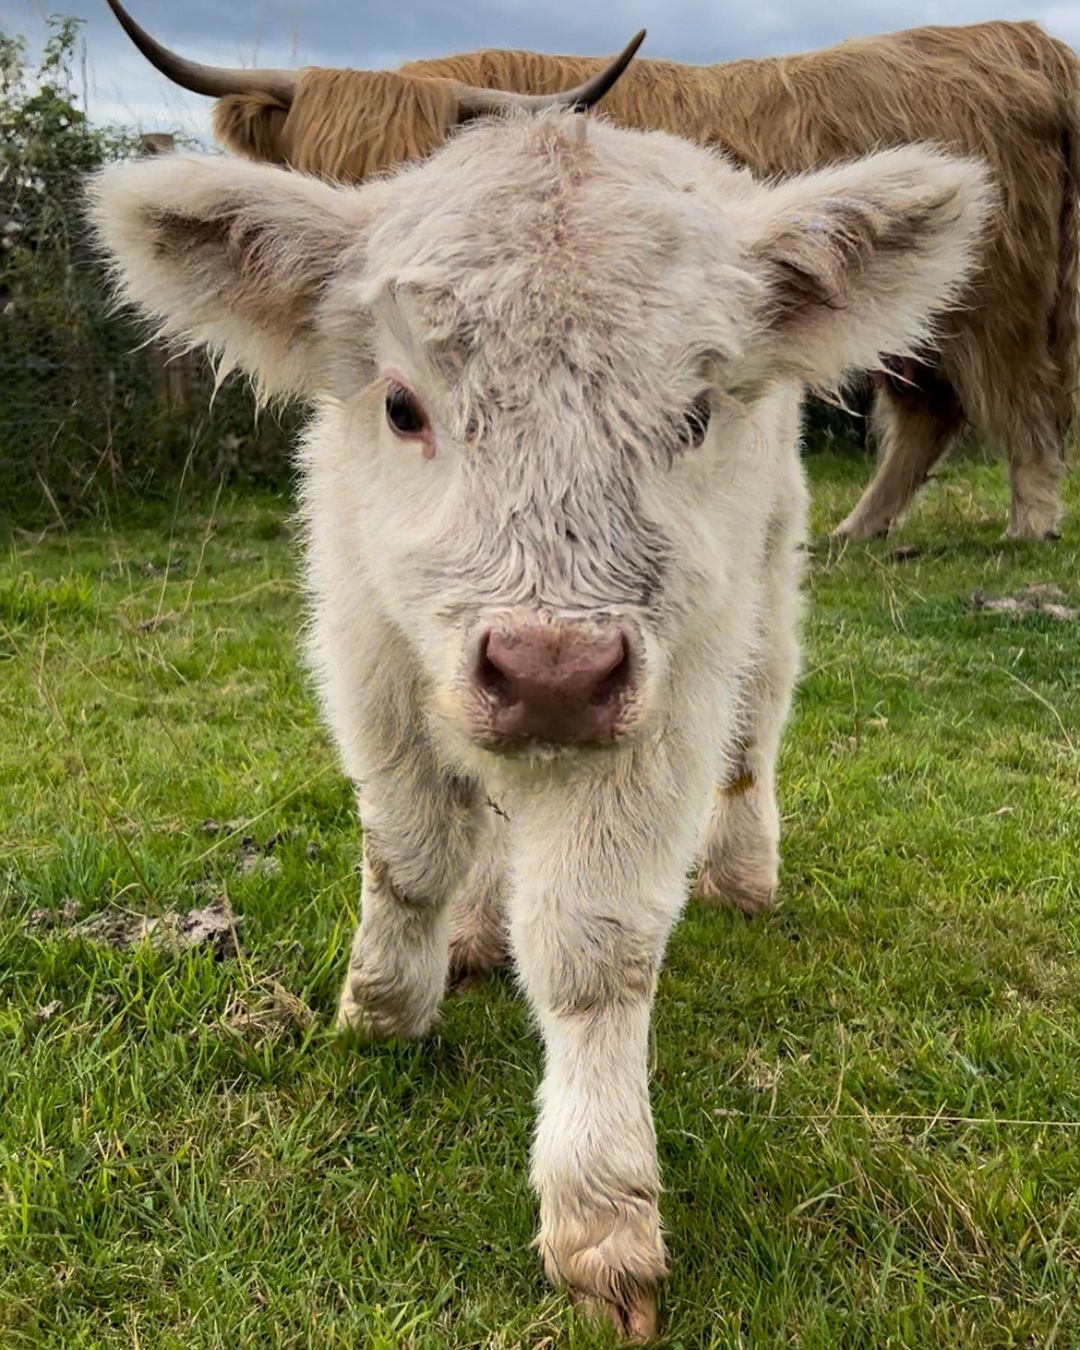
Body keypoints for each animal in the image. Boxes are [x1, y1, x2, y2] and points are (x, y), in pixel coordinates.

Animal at [90, 62, 988, 1336]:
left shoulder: (658, 696)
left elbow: (594, 947)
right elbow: (409, 848)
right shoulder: (364, 644)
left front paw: (600, 1214)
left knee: (758, 722)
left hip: (761, 575)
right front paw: (383, 1007)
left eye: (695, 412)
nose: (549, 672)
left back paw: (742, 870)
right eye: (402, 406)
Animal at [106, 1, 1078, 542]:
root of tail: (1026, 43)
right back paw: (858, 529)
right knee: (929, 413)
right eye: (313, 168)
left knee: (1022, 396)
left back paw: (1028, 525)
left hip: (1001, 292)